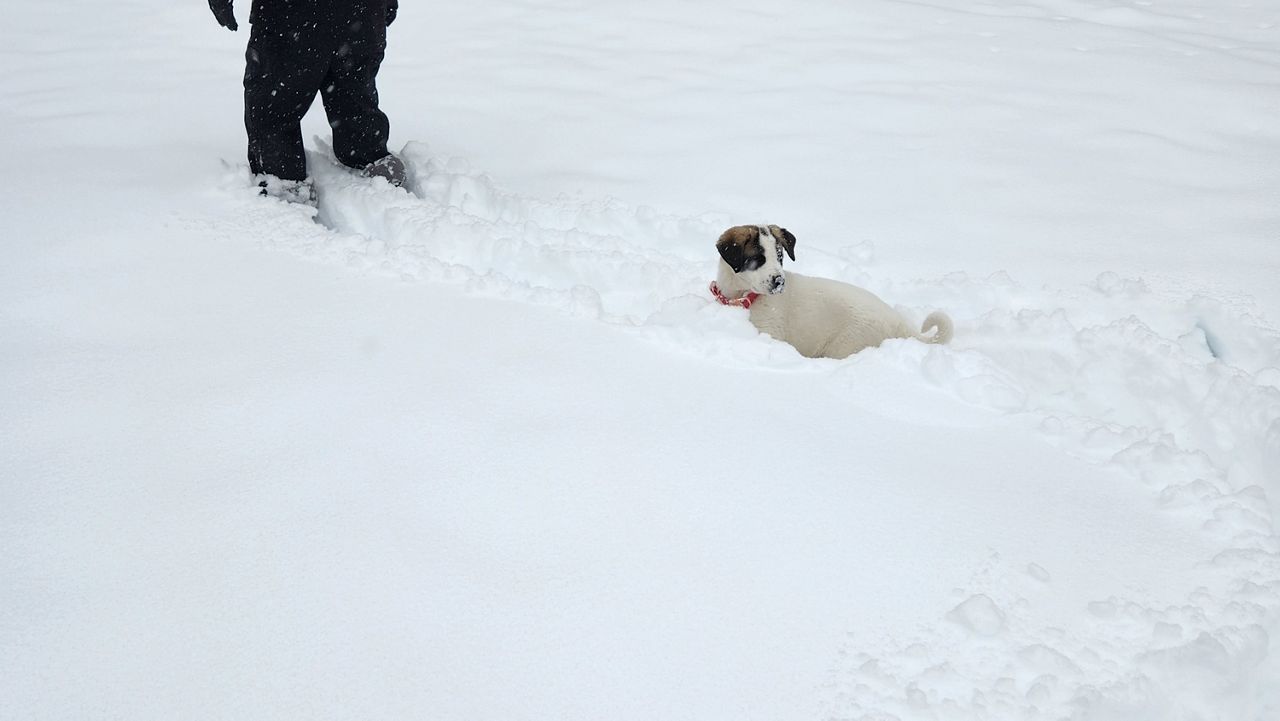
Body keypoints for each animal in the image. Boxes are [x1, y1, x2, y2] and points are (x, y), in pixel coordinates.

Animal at [711, 224, 952, 358]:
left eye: (780, 257)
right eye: (757, 259)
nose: (779, 282)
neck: (742, 297)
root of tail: (901, 326)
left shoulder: (769, 333)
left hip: (846, 345)